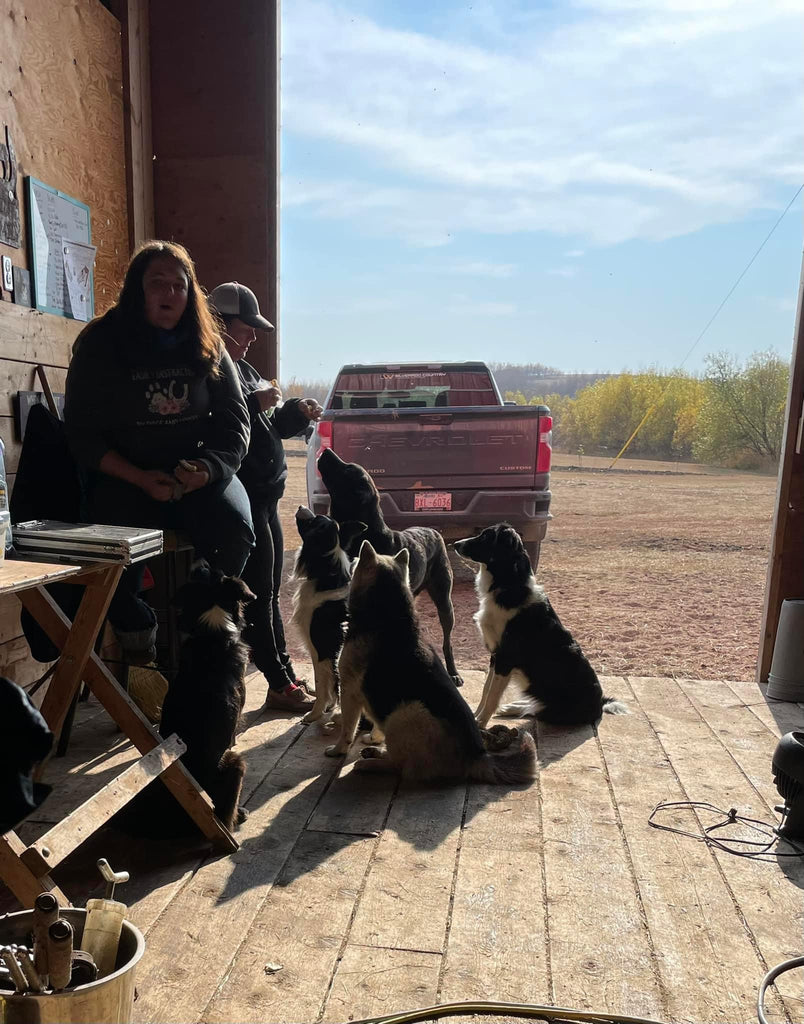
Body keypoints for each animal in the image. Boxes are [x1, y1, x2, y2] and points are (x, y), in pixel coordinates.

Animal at [292, 506, 366, 724]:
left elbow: (322, 683)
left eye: (315, 521)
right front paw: (331, 706)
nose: (301, 507)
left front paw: (315, 713)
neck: (327, 577)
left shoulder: (320, 647)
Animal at [317, 447, 463, 686]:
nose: (327, 450)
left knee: (447, 640)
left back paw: (453, 673)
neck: (365, 535)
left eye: (347, 469)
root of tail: (433, 530)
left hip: (444, 600)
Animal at [325, 539, 537, 785]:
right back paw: (378, 752)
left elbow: (347, 730)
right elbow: (377, 723)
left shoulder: (349, 691)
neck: (389, 611)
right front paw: (375, 738)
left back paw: (371, 764)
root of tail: (477, 756)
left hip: (405, 711)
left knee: (402, 768)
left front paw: (338, 750)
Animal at [453, 523, 628, 728]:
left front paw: (480, 724)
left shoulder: (505, 658)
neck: (510, 586)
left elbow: (492, 696)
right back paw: (513, 706)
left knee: (538, 710)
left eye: (485, 537)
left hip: (559, 707)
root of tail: (599, 704)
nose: (455, 544)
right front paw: (475, 716)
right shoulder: (495, 655)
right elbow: (486, 690)